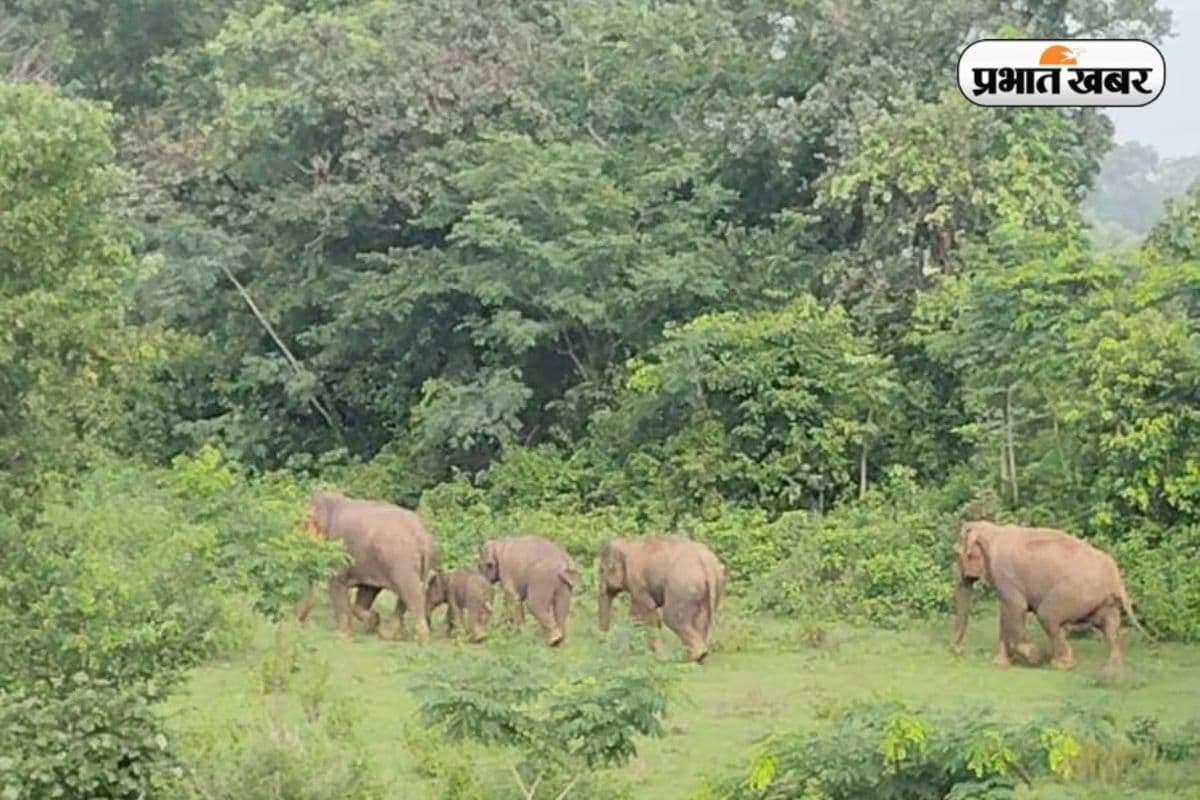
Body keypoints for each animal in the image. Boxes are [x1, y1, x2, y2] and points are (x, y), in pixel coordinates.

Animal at [296, 490, 437, 644]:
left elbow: (336, 583)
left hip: (402, 563)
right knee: (407, 596)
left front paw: (341, 636)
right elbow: (367, 590)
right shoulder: (370, 562)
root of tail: (423, 538)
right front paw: (373, 621)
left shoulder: (339, 548)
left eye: (302, 528)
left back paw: (421, 640)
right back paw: (389, 635)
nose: (300, 620)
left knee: (411, 593)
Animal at [951, 520, 1151, 670]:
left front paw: (1034, 656)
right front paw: (1000, 663)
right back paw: (1113, 667)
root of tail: (1116, 577)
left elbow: (1016, 608)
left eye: (957, 554)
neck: (993, 531)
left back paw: (1062, 664)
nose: (960, 650)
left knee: (1048, 615)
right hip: (1102, 599)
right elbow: (1005, 613)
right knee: (1110, 625)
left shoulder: (1005, 575)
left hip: (1076, 591)